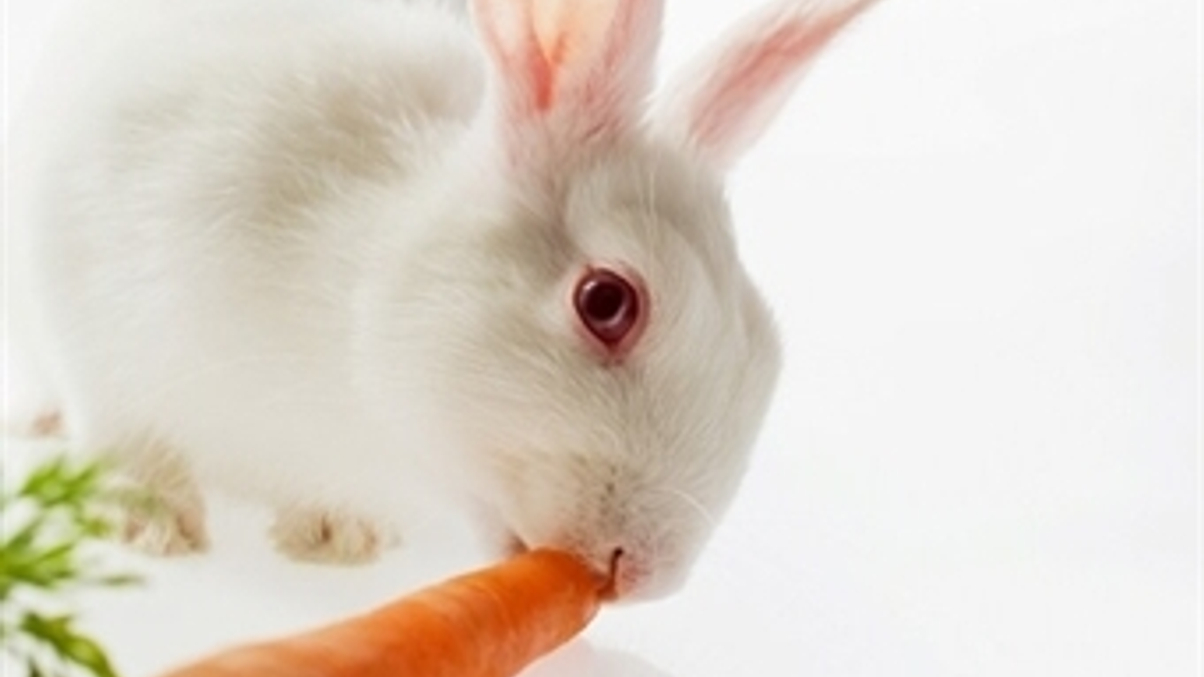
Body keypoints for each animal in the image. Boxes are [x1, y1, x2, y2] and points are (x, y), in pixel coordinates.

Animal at [5, 0, 878, 600]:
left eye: (767, 349)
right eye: (606, 301)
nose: (642, 573)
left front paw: (336, 535)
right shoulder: (82, 282)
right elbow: (126, 437)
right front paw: (153, 527)